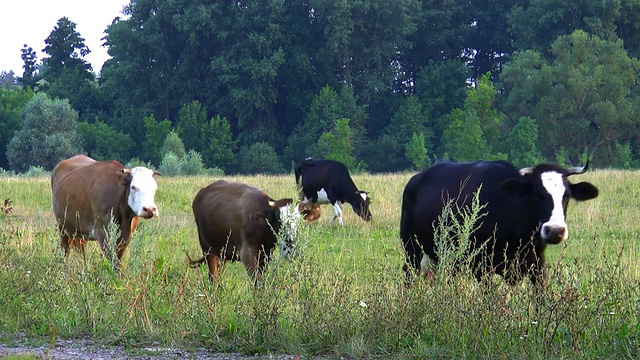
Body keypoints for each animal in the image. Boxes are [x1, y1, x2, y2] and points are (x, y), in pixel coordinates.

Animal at [400, 160, 600, 284]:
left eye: (566, 196)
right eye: (536, 195)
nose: (555, 230)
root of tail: (415, 179)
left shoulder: (536, 263)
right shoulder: (482, 266)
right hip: (412, 250)